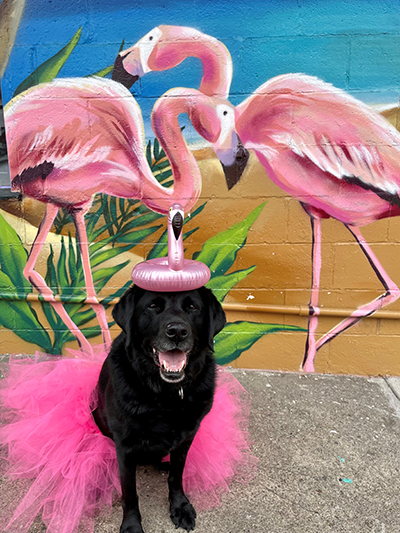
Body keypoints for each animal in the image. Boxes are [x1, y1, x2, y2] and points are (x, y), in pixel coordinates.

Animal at [92, 284, 227, 528]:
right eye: (153, 306)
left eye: (192, 307)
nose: (177, 332)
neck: (165, 394)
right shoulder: (125, 447)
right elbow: (129, 492)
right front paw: (131, 525)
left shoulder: (186, 437)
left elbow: (177, 476)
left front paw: (180, 506)